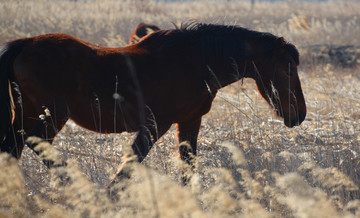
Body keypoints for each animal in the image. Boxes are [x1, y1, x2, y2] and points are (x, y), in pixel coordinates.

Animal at [0, 21, 306, 182]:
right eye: (289, 70)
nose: (299, 114)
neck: (195, 62)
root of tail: (22, 44)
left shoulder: (189, 122)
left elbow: (187, 167)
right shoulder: (155, 124)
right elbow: (128, 167)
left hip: (28, 114)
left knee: (13, 148)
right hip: (52, 114)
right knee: (38, 145)